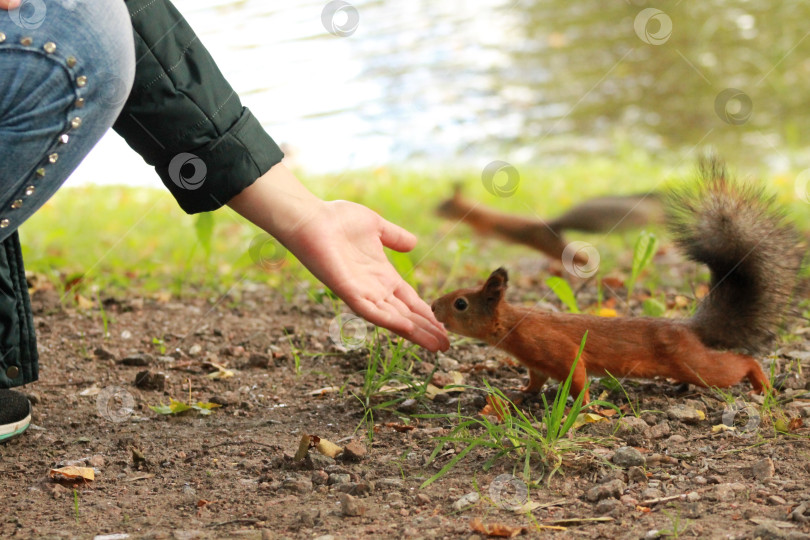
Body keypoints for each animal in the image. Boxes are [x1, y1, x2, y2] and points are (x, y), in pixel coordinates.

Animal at [430, 158, 800, 402]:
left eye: (460, 303)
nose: (433, 307)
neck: (514, 323)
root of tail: (687, 328)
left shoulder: (554, 347)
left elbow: (577, 375)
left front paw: (579, 408)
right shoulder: (536, 364)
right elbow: (535, 379)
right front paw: (522, 392)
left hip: (693, 362)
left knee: (737, 364)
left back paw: (761, 384)